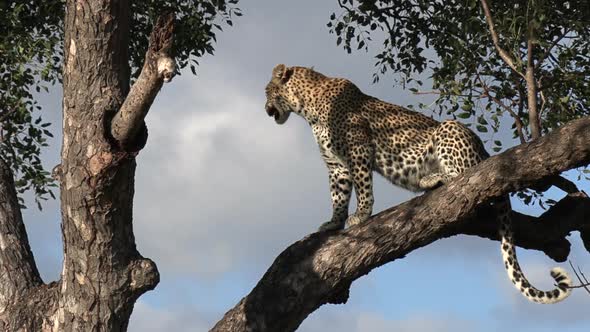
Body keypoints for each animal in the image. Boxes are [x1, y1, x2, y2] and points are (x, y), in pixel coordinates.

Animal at [264, 63, 572, 304]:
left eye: (267, 92)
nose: (266, 109)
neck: (307, 107)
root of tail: (484, 151)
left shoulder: (358, 149)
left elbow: (363, 188)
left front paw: (361, 216)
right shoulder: (336, 165)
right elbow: (338, 196)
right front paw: (333, 223)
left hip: (449, 129)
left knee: (470, 177)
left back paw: (433, 177)